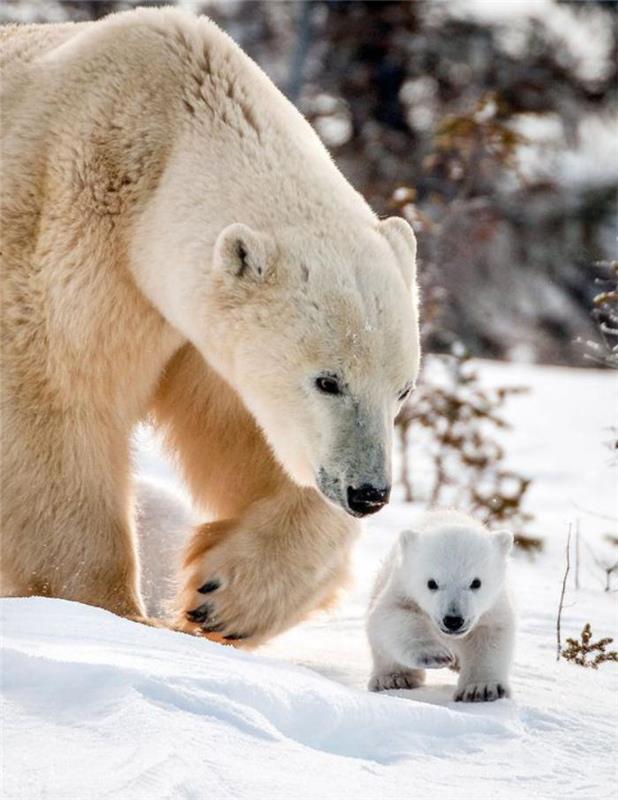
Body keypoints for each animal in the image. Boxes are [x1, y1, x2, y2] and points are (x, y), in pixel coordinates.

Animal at [0, 6, 418, 648]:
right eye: (328, 380)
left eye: (402, 390)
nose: (368, 492)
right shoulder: (72, 237)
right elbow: (60, 401)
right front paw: (107, 612)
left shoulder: (195, 328)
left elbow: (243, 434)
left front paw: (223, 596)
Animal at [364, 512, 512, 700]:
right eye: (431, 583)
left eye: (476, 582)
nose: (453, 620)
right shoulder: (403, 587)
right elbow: (393, 615)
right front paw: (436, 655)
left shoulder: (493, 607)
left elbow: (490, 635)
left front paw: (481, 688)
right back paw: (394, 679)